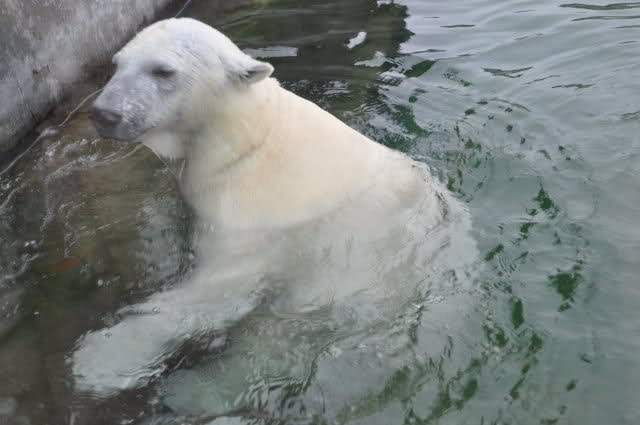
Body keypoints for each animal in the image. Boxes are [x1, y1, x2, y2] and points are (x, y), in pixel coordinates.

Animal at [73, 17, 477, 397]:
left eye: (163, 70)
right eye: (117, 64)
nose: (104, 114)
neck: (243, 137)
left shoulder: (250, 212)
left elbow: (219, 290)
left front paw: (98, 361)